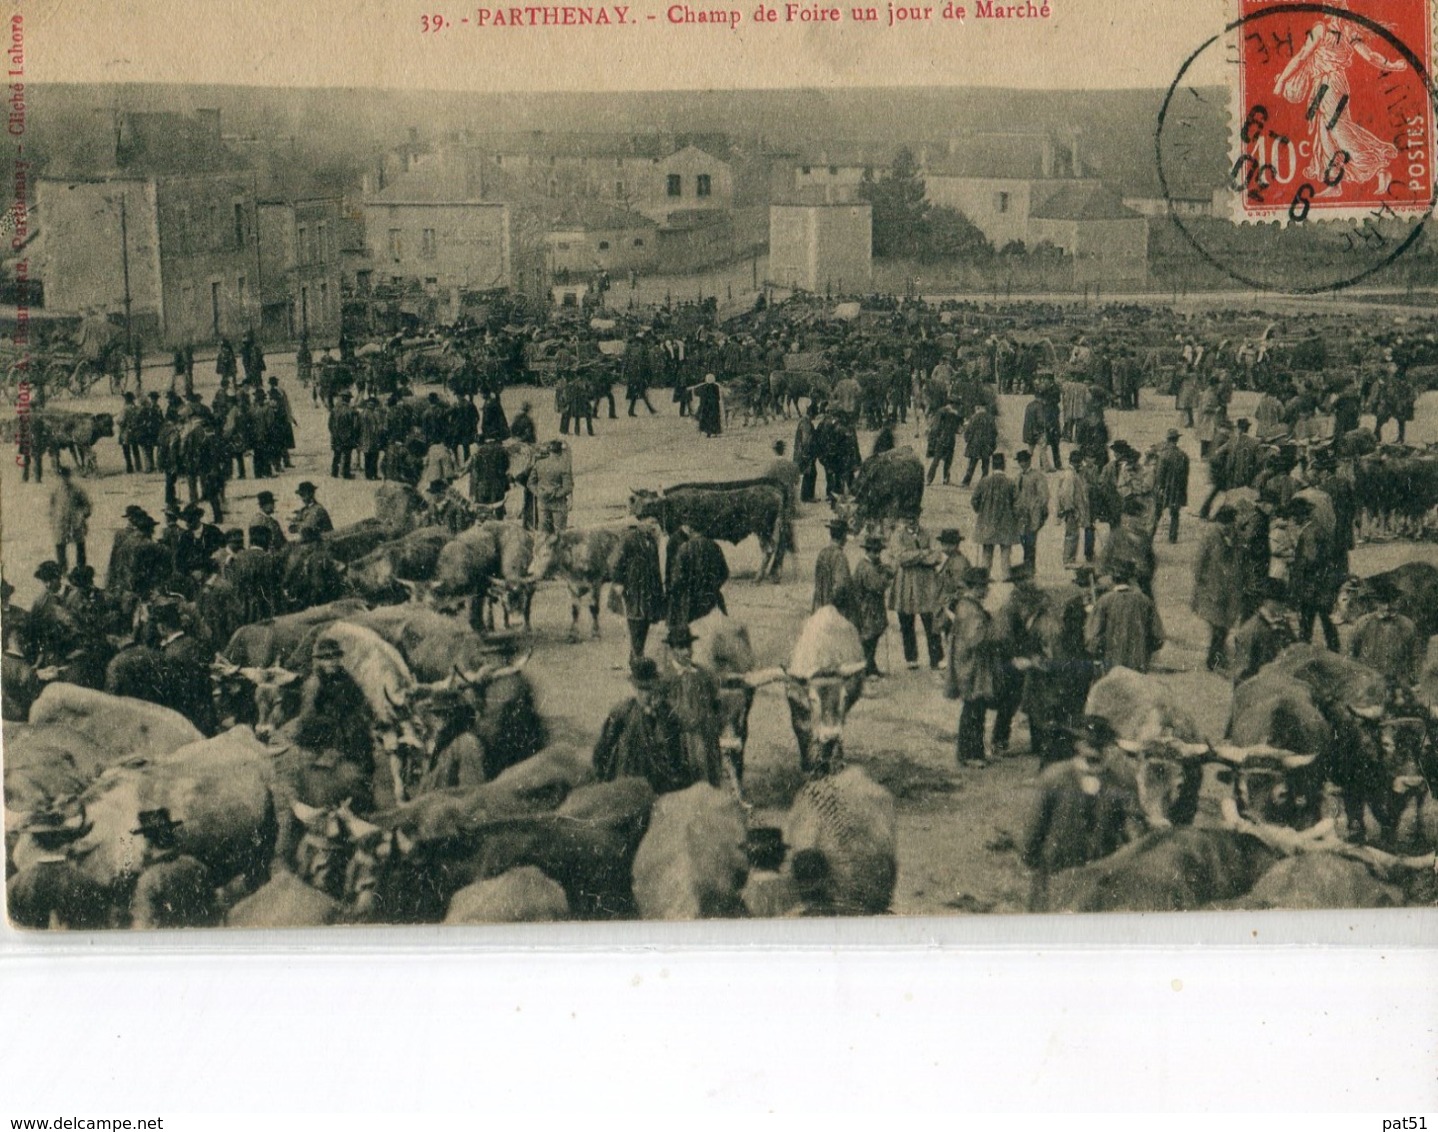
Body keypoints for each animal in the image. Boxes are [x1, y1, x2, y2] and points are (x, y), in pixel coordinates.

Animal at [629, 477, 788, 581]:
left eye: (649, 503)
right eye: (637, 502)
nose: (637, 515)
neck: (671, 504)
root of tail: (775, 491)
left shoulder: (692, 533)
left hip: (763, 530)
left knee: (768, 550)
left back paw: (758, 577)